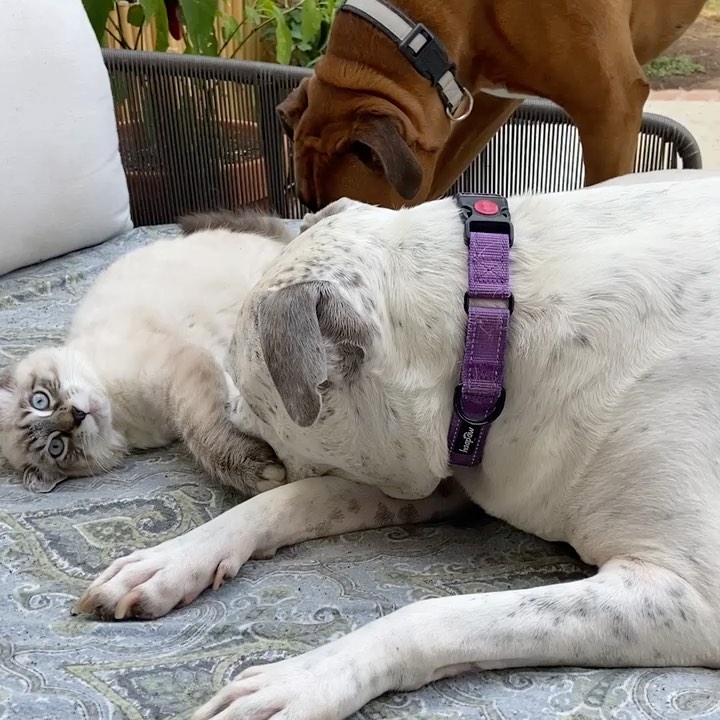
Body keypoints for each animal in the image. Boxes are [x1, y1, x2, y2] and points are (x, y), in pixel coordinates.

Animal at [0, 210, 292, 496]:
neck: (121, 413)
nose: (77, 415)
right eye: (57, 447)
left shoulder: (183, 373)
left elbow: (203, 432)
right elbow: (218, 421)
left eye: (40, 400)